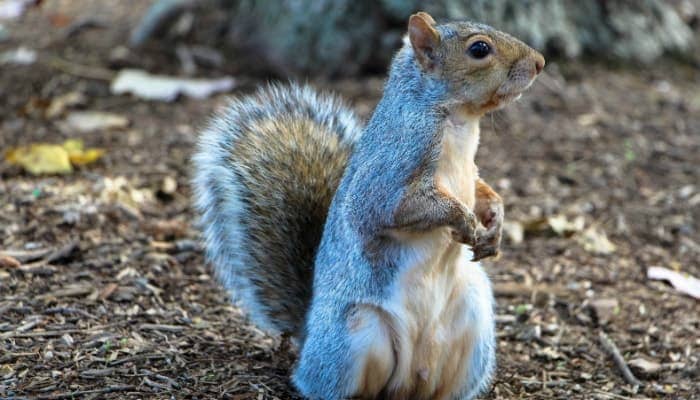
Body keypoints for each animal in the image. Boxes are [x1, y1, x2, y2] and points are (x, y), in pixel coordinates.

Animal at [193, 10, 548, 398]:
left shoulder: (471, 172)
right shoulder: (392, 169)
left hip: (473, 321)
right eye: (479, 49)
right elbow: (392, 208)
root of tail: (308, 337)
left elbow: (484, 191)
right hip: (357, 335)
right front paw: (463, 219)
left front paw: (495, 223)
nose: (540, 62)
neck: (459, 120)